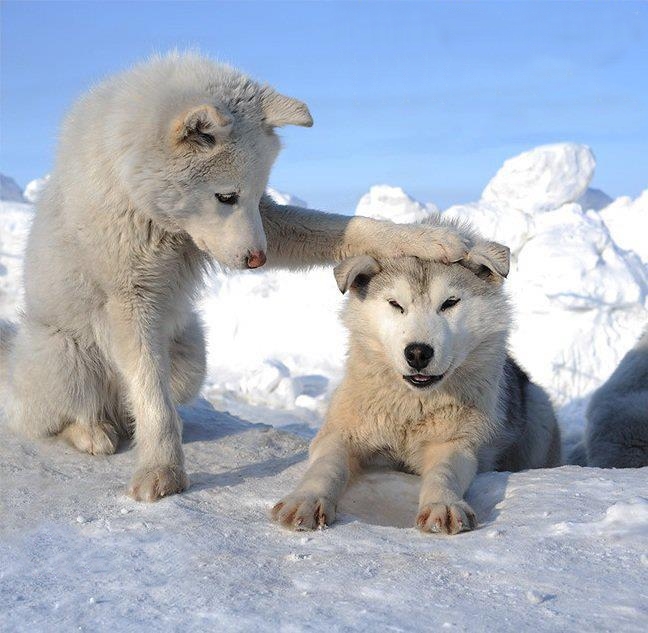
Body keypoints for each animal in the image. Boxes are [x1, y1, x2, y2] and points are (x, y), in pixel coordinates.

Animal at [0, 53, 484, 502]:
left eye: (253, 195)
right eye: (225, 196)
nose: (256, 258)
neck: (144, 203)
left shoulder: (266, 224)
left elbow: (350, 227)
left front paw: (429, 238)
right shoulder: (129, 299)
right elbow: (151, 397)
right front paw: (161, 471)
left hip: (190, 359)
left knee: (138, 404)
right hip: (67, 356)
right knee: (54, 418)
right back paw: (92, 432)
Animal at [272, 245, 561, 534]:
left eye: (449, 303)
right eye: (395, 304)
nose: (418, 353)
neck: (412, 408)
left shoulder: (455, 444)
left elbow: (444, 473)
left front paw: (442, 505)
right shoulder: (340, 434)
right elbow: (326, 465)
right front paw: (306, 500)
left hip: (539, 412)